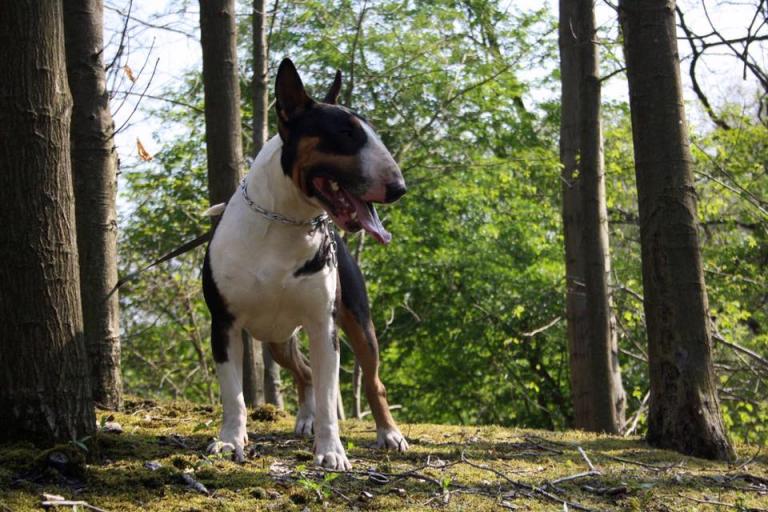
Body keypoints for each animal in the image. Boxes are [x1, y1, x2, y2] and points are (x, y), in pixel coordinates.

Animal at [202, 58, 408, 470]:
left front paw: (331, 452)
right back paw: (304, 419)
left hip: (357, 321)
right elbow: (233, 395)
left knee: (372, 380)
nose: (398, 188)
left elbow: (331, 397)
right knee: (305, 372)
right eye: (345, 133)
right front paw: (230, 441)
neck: (284, 223)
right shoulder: (224, 324)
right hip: (277, 338)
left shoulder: (322, 325)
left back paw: (388, 433)